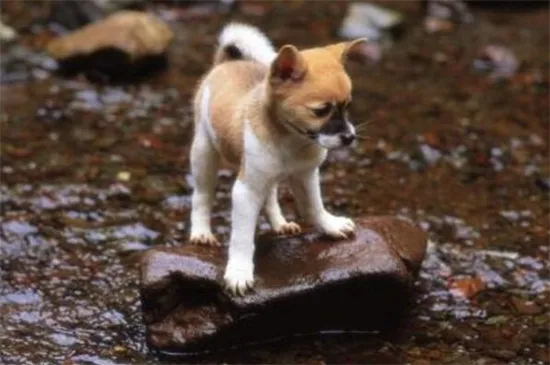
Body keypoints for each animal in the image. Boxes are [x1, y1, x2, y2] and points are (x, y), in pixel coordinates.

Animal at [190, 22, 366, 294]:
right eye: (321, 111)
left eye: (347, 106)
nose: (350, 137)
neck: (292, 140)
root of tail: (224, 63)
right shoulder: (246, 190)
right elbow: (241, 237)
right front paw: (239, 271)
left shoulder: (305, 176)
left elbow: (314, 206)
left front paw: (330, 225)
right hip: (204, 153)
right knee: (202, 195)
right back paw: (200, 232)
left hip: (267, 175)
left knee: (271, 195)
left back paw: (280, 223)